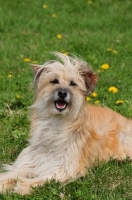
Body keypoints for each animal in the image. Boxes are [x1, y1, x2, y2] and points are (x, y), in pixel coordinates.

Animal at [0, 52, 132, 195]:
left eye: (73, 84)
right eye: (54, 81)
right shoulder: (30, 162)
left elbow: (43, 178)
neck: (57, 122)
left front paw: (23, 186)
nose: (62, 93)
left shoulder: (64, 168)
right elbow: (14, 173)